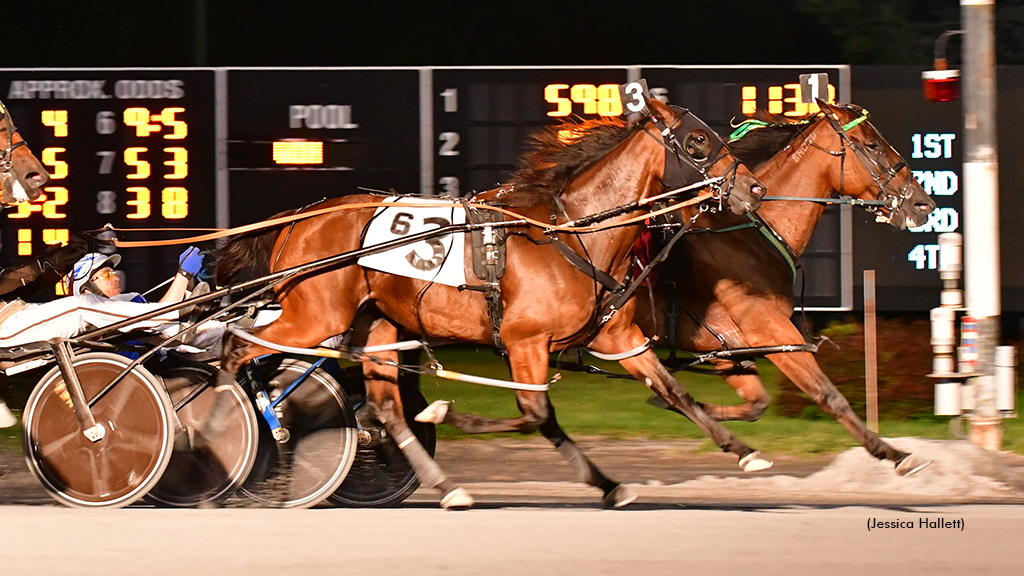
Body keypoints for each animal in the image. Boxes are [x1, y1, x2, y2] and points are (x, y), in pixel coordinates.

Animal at [216, 97, 770, 506]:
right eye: (698, 141)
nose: (755, 188)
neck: (572, 232)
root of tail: (298, 219)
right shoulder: (525, 340)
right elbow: (536, 412)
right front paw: (447, 414)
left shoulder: (617, 336)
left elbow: (674, 392)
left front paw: (744, 452)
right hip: (314, 315)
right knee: (234, 350)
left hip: (378, 324)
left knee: (384, 408)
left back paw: (446, 486)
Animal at [630, 99, 937, 471]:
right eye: (873, 144)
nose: (924, 204)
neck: (744, 232)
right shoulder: (771, 330)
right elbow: (828, 395)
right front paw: (892, 452)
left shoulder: (723, 342)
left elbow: (756, 403)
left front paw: (686, 410)